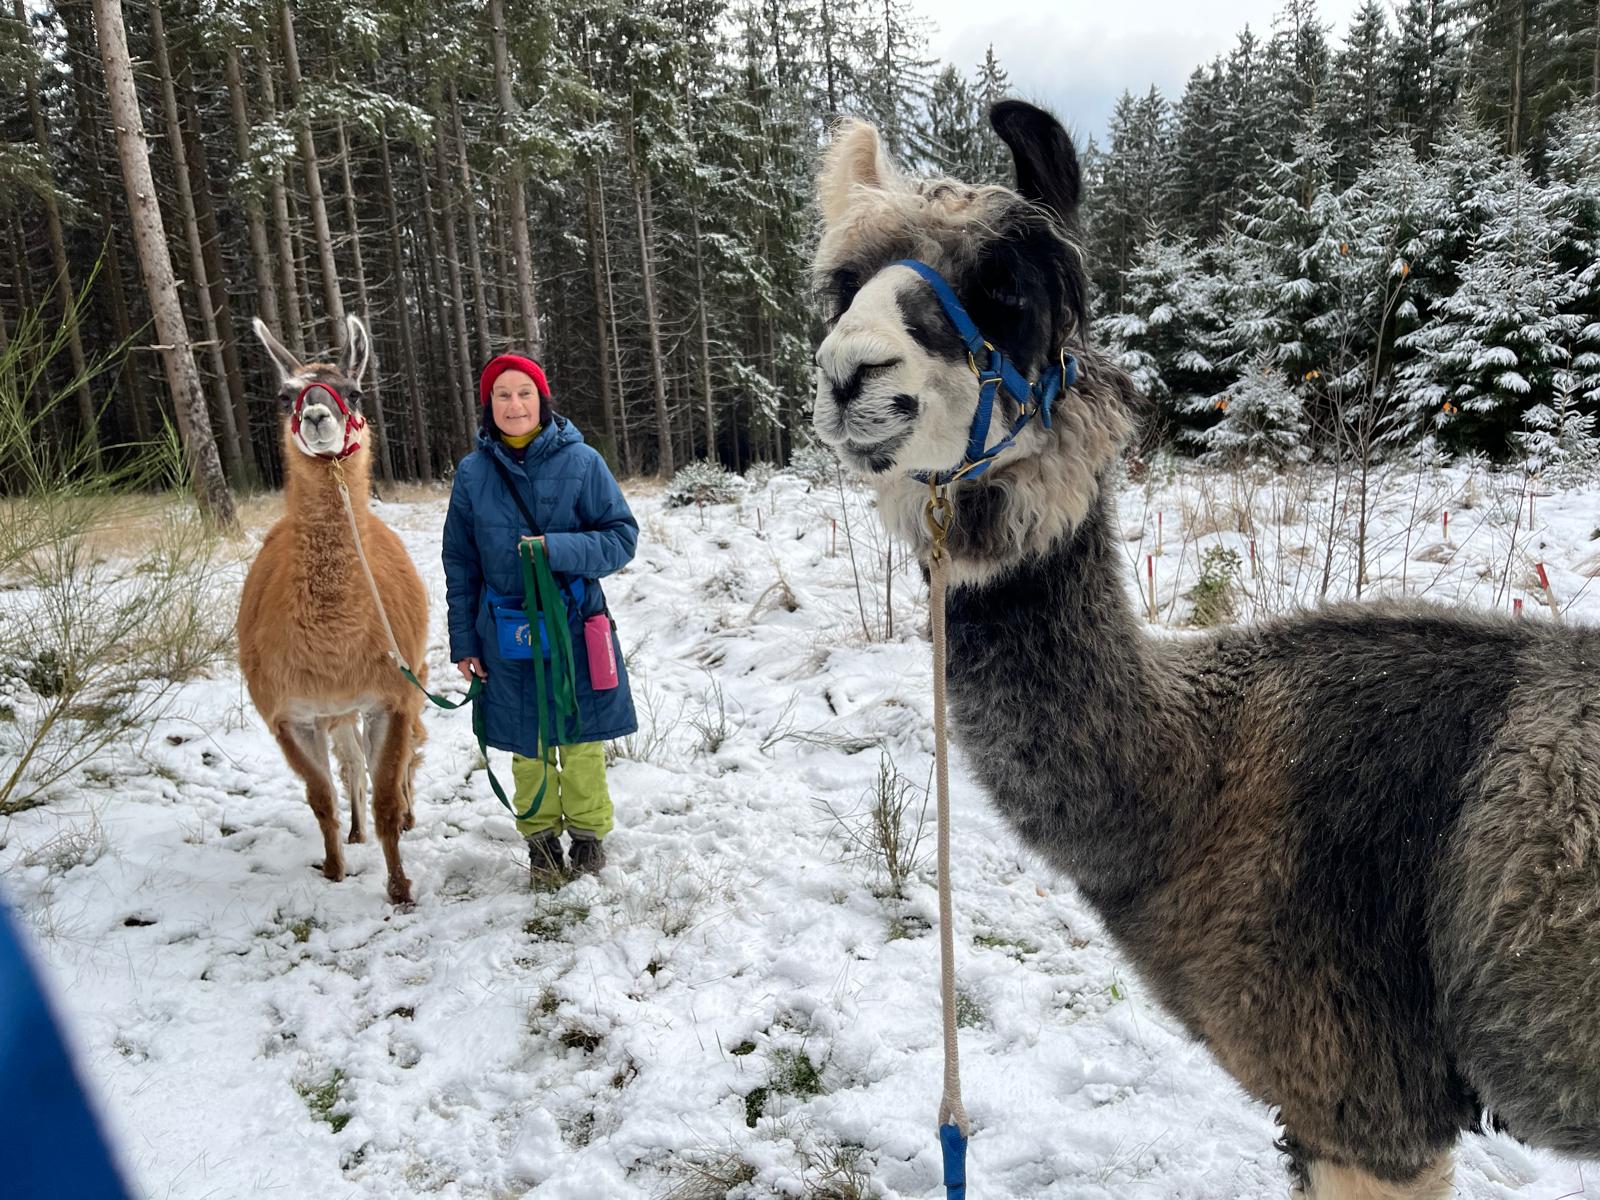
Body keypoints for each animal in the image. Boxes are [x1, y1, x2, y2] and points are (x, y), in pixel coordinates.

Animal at [239, 315, 427, 906]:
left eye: (355, 391)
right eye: (285, 396)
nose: (318, 416)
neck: (332, 646)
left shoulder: (390, 698)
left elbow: (387, 791)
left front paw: (400, 888)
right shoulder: (287, 714)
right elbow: (322, 796)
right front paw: (335, 868)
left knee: (396, 762)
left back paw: (403, 817)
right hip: (333, 713)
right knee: (351, 767)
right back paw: (355, 832)